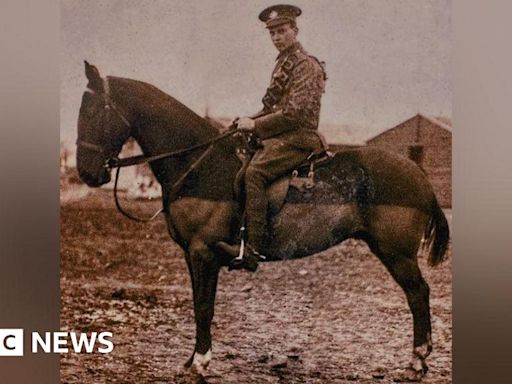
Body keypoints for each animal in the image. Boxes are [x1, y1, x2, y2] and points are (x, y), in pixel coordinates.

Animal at [76, 61, 448, 380]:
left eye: (93, 111)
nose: (87, 174)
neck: (198, 164)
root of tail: (419, 175)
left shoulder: (203, 253)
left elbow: (204, 306)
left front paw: (201, 363)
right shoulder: (191, 255)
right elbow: (198, 304)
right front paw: (191, 360)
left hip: (397, 253)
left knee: (418, 293)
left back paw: (417, 362)